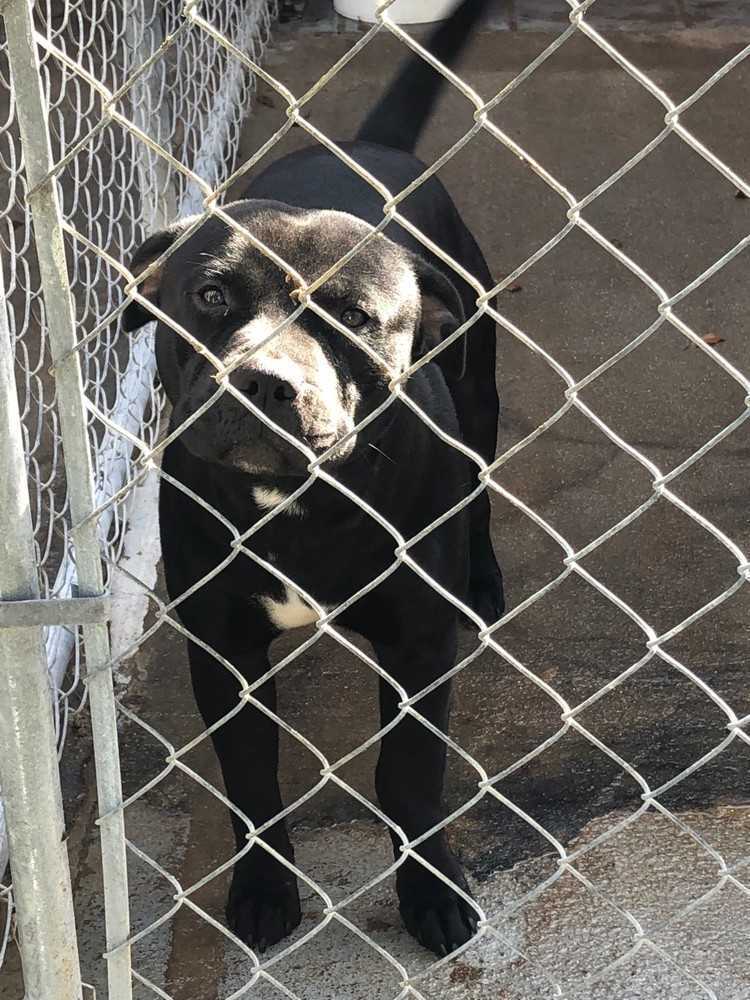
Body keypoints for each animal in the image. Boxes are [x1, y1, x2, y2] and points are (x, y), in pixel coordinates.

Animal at [125, 0, 506, 952]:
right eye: (211, 297)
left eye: (356, 317)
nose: (265, 382)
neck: (298, 505)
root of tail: (371, 146)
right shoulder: (222, 648)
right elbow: (251, 779)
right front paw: (263, 889)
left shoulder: (417, 646)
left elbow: (408, 773)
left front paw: (430, 891)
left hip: (481, 387)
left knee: (482, 486)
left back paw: (483, 579)